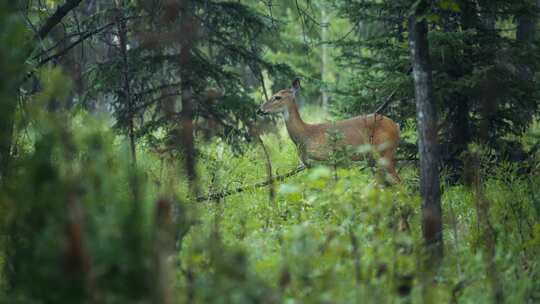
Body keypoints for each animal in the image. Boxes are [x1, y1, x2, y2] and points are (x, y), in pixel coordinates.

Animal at [258, 78, 400, 183]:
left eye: (277, 97)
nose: (259, 110)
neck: (305, 135)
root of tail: (395, 126)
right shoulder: (311, 166)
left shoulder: (328, 159)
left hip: (384, 151)